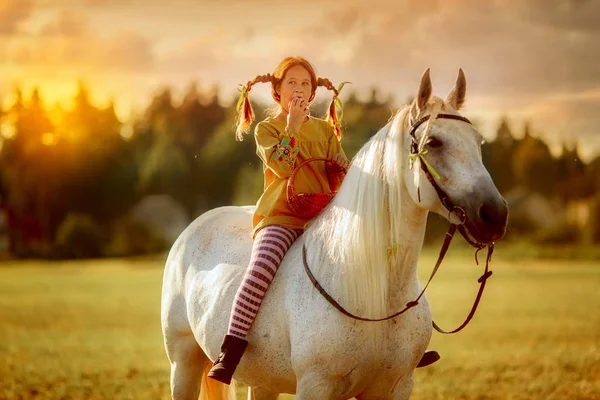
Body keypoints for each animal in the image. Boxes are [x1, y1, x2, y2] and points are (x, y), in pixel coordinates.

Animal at [162, 69, 508, 400]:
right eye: (434, 142)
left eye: (478, 141)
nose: (495, 215)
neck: (376, 292)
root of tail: (196, 225)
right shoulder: (316, 386)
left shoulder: (396, 388)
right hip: (184, 364)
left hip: (262, 382)